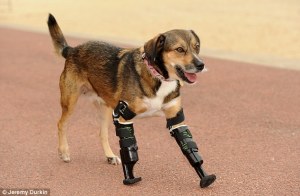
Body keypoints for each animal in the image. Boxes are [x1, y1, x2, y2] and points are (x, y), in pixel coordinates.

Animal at [47, 13, 216, 188]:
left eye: (197, 46)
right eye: (180, 49)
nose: (201, 64)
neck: (158, 76)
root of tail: (73, 50)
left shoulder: (176, 119)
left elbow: (189, 148)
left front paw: (204, 176)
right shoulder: (124, 116)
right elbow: (129, 150)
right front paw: (130, 177)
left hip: (106, 108)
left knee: (102, 133)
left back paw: (109, 156)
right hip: (70, 101)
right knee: (61, 124)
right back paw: (64, 152)